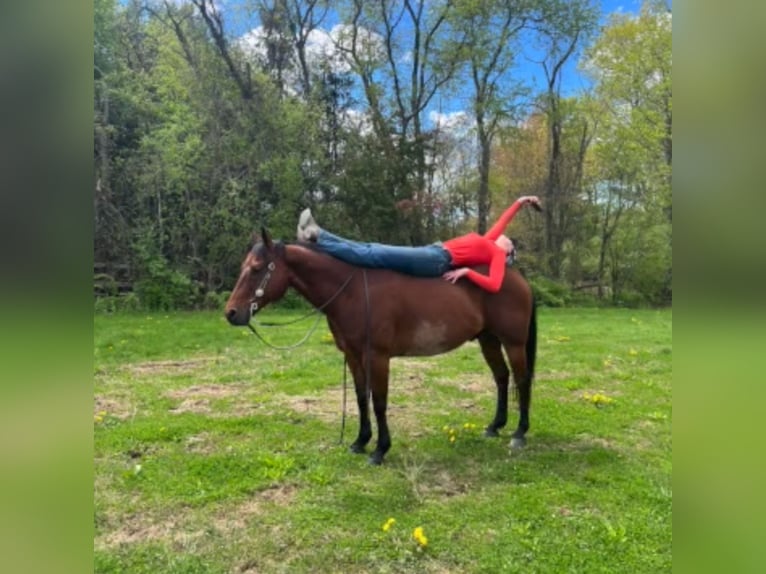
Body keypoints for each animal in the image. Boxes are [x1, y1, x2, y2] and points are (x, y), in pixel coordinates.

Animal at [226, 230, 540, 468]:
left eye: (257, 268)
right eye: (243, 266)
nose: (231, 313)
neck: (350, 291)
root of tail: (518, 278)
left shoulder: (377, 357)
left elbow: (378, 401)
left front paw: (380, 450)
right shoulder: (353, 356)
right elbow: (361, 398)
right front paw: (360, 441)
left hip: (513, 342)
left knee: (521, 380)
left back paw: (520, 432)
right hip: (488, 339)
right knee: (501, 378)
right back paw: (495, 426)